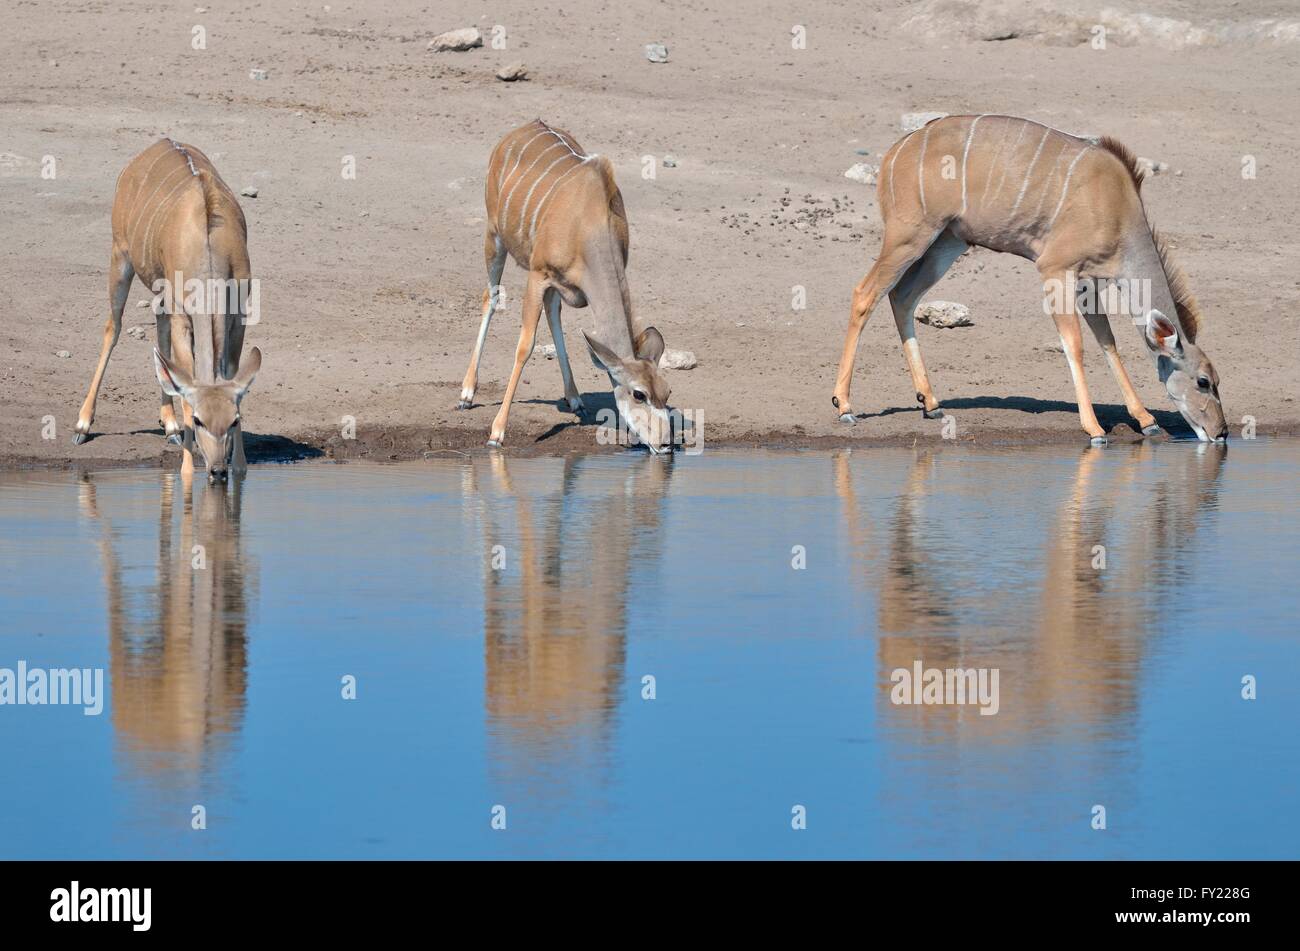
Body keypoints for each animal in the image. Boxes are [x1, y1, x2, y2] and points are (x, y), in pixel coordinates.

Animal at [73, 139, 263, 483]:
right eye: (199, 420)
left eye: (233, 419)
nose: (217, 470)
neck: (209, 245)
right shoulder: (182, 319)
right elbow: (185, 378)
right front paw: (187, 470)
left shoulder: (238, 319)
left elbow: (231, 374)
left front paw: (239, 467)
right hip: (120, 258)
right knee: (113, 328)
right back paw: (82, 424)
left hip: (159, 290)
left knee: (159, 339)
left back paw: (170, 425)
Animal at [457, 119, 676, 452]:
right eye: (639, 393)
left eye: (667, 392)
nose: (664, 444)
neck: (588, 223)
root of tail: (519, 130)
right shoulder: (538, 275)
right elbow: (525, 346)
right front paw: (497, 432)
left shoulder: (559, 284)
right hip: (493, 235)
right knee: (490, 297)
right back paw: (467, 393)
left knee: (552, 313)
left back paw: (574, 398)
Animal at [832, 116, 1227, 444]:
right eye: (1203, 381)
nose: (1221, 433)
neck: (1115, 205)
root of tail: (895, 152)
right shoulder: (1055, 269)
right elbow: (1075, 344)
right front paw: (1095, 428)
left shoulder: (1087, 282)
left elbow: (1108, 341)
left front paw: (1146, 420)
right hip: (908, 235)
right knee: (865, 293)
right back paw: (845, 406)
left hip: (946, 243)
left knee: (902, 296)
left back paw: (930, 402)